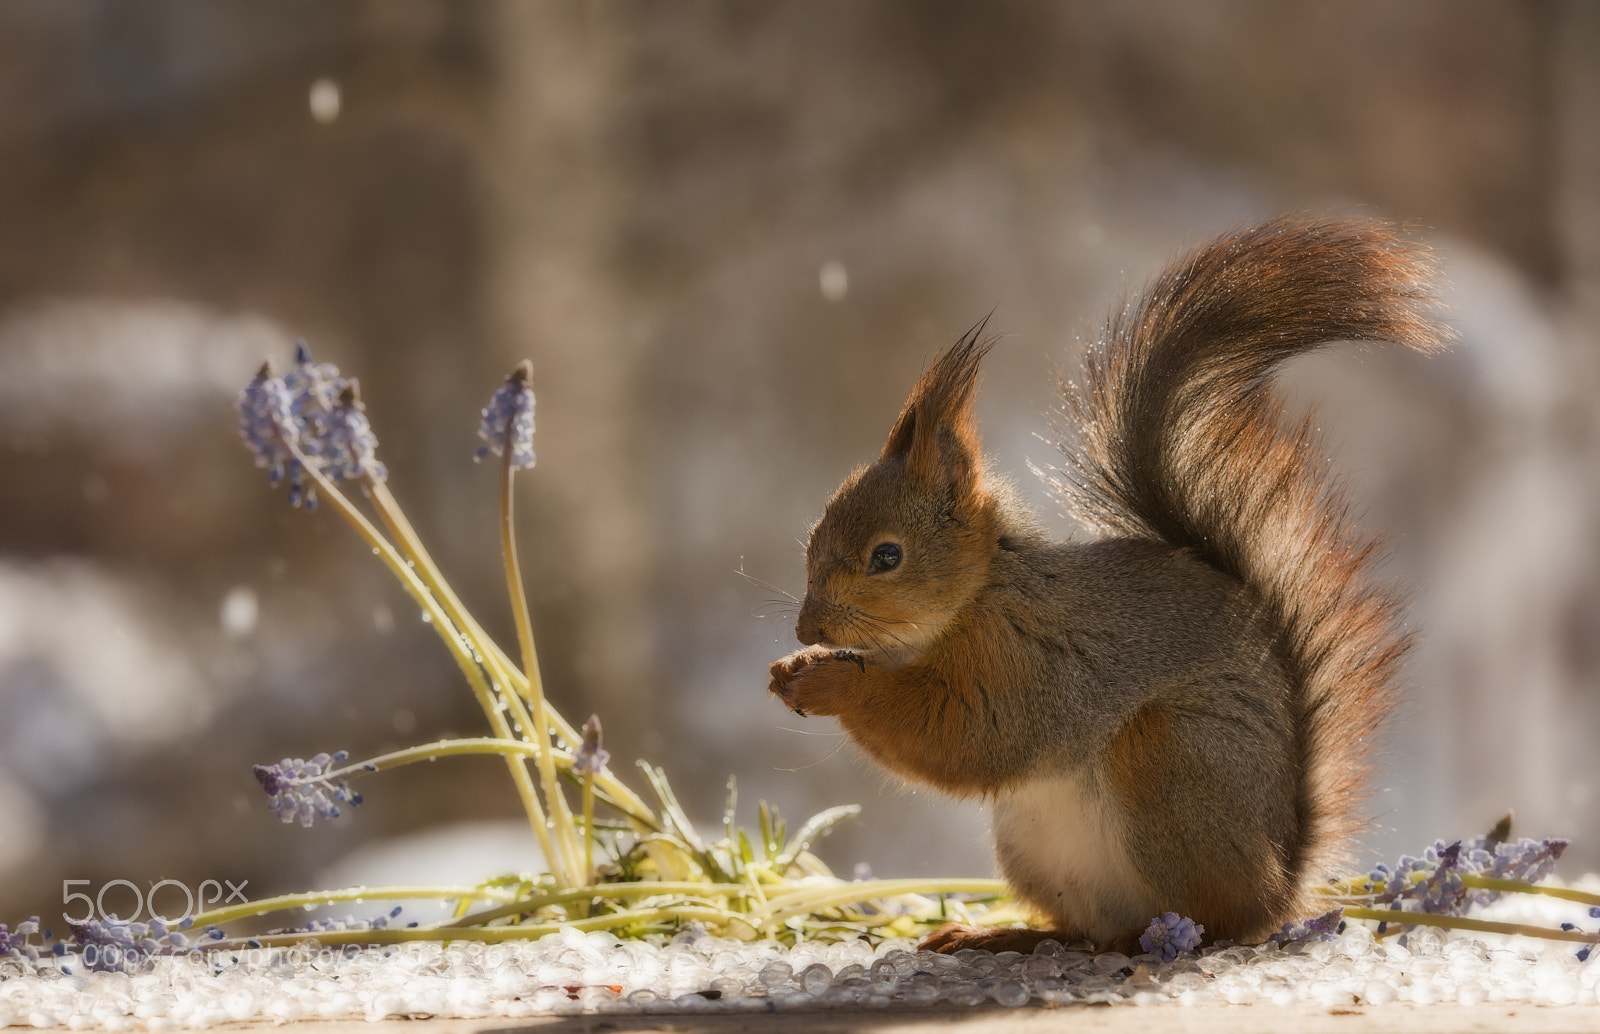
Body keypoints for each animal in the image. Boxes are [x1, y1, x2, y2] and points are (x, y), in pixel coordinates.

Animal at [767, 216, 1452, 954]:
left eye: (886, 556)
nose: (807, 628)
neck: (974, 600)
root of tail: (1280, 886)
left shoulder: (1032, 661)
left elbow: (971, 735)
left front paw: (830, 682)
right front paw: (793, 668)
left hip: (1169, 761)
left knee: (1210, 920)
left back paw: (1137, 941)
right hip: (1035, 848)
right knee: (1079, 926)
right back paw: (1004, 935)